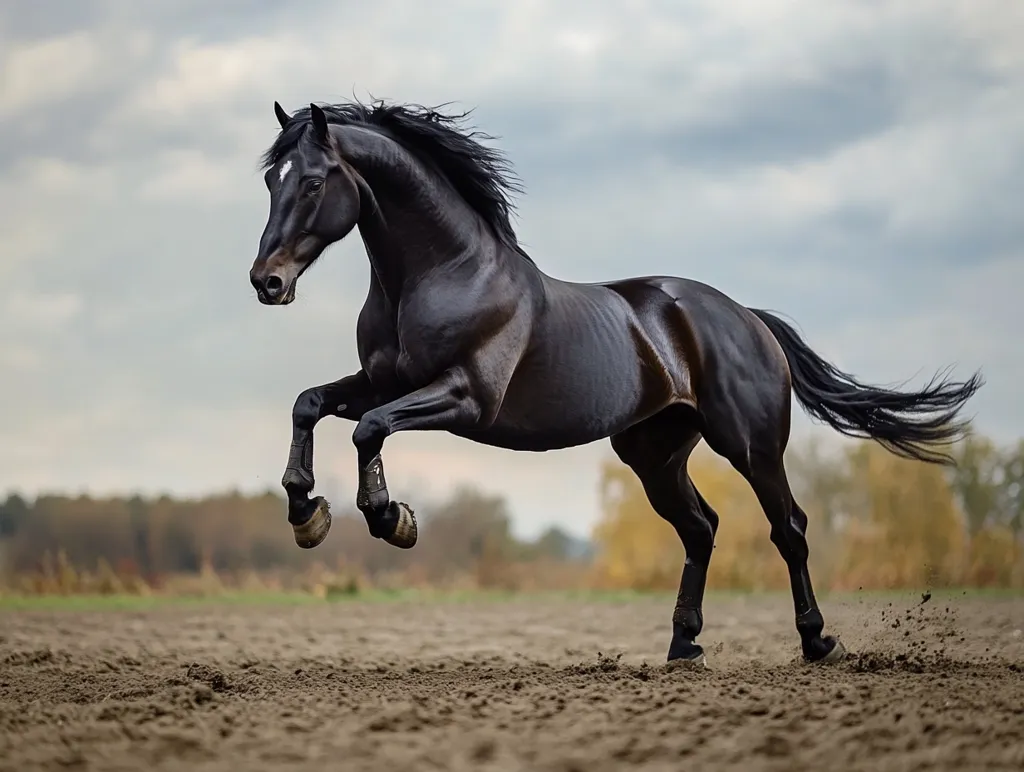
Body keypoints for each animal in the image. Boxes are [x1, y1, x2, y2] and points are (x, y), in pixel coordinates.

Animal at [248, 99, 982, 667]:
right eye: (270, 182)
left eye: (312, 182)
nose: (267, 282)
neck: (442, 274)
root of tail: (748, 317)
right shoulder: (380, 381)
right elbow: (310, 405)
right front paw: (307, 514)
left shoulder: (466, 398)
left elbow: (370, 430)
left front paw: (389, 518)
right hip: (654, 452)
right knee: (702, 529)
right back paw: (684, 647)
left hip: (749, 446)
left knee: (789, 529)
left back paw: (818, 643)